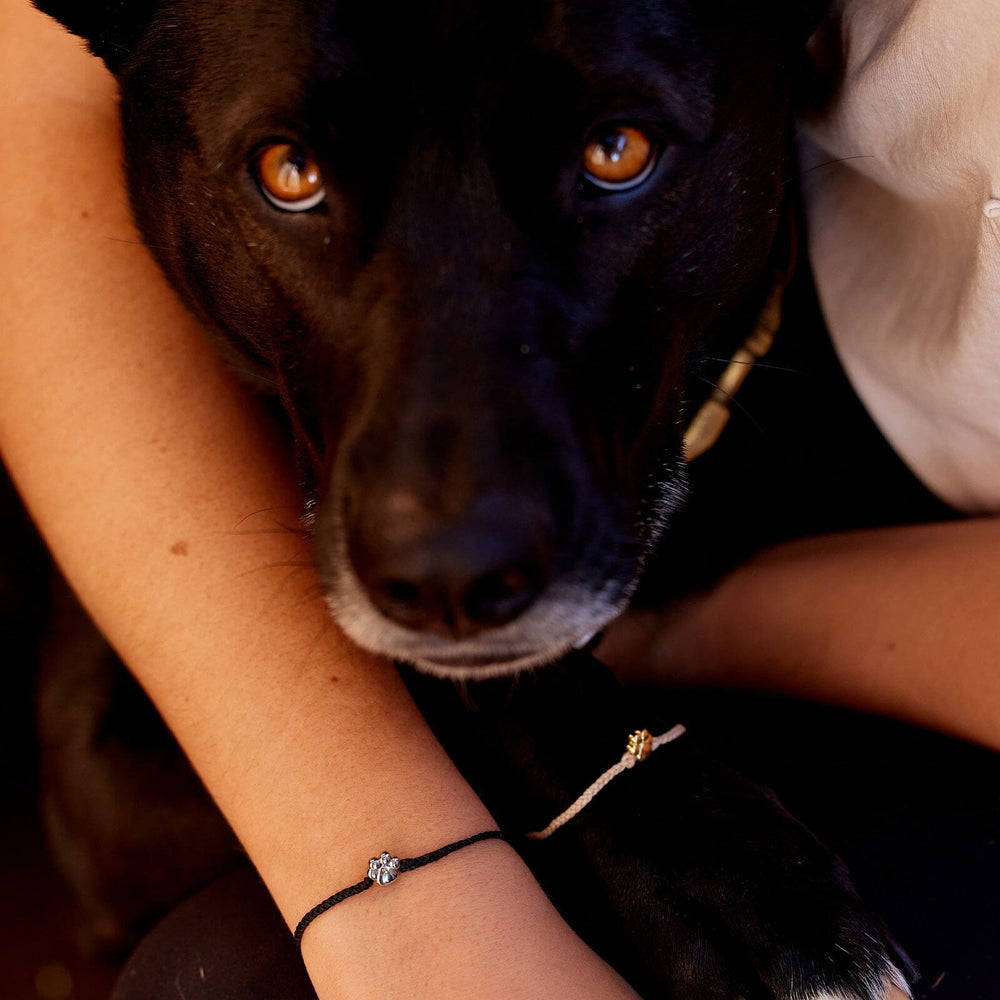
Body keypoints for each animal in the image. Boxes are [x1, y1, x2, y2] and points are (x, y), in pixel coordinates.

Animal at [33, 1, 916, 1000]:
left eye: (618, 150)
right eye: (288, 172)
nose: (449, 581)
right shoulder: (102, 770)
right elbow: (481, 694)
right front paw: (743, 889)